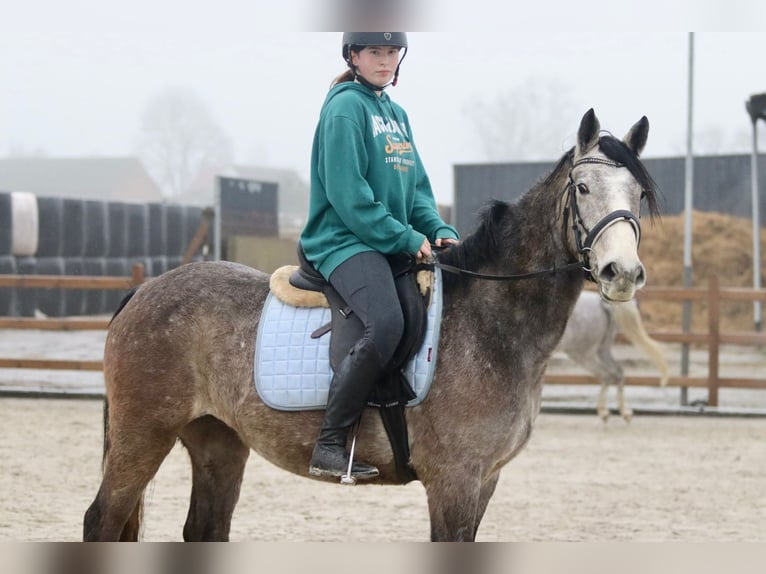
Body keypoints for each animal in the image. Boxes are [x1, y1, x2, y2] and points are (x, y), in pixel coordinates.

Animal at [556, 292, 668, 424]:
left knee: (608, 374)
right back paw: (617, 412)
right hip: (600, 351)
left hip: (583, 354)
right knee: (616, 372)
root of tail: (601, 303)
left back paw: (610, 412)